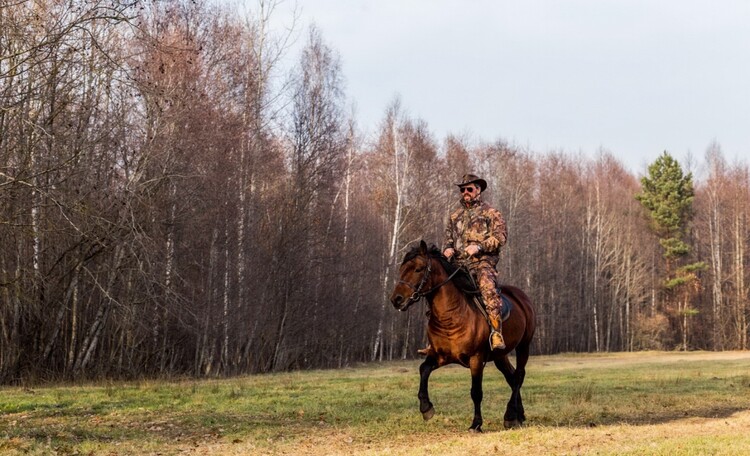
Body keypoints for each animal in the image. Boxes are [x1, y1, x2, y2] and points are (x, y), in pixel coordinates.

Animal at [390, 240, 536, 432]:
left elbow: (476, 392)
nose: (396, 299)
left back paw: (511, 415)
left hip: (523, 346)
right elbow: (423, 370)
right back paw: (518, 416)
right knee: (512, 378)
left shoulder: (476, 359)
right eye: (401, 269)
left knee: (519, 375)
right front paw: (426, 408)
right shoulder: (440, 356)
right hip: (500, 355)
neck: (452, 316)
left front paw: (476, 424)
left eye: (418, 269)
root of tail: (523, 297)